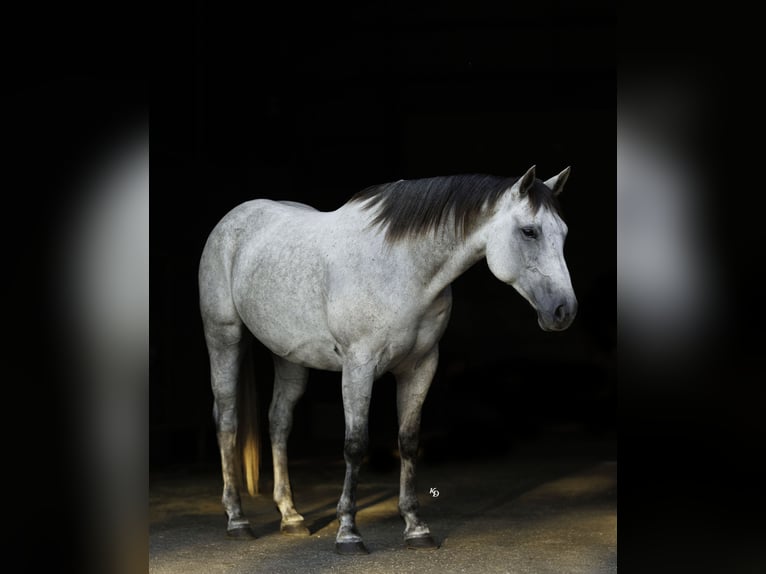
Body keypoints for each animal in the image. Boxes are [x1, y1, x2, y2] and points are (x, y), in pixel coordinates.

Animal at [198, 165, 577, 554]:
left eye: (563, 233)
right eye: (529, 231)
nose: (564, 311)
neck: (401, 269)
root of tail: (234, 218)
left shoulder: (420, 367)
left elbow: (408, 441)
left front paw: (416, 528)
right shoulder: (358, 366)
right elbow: (355, 445)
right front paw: (349, 533)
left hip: (289, 356)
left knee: (279, 422)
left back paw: (291, 516)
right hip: (224, 338)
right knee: (227, 420)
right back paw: (237, 520)